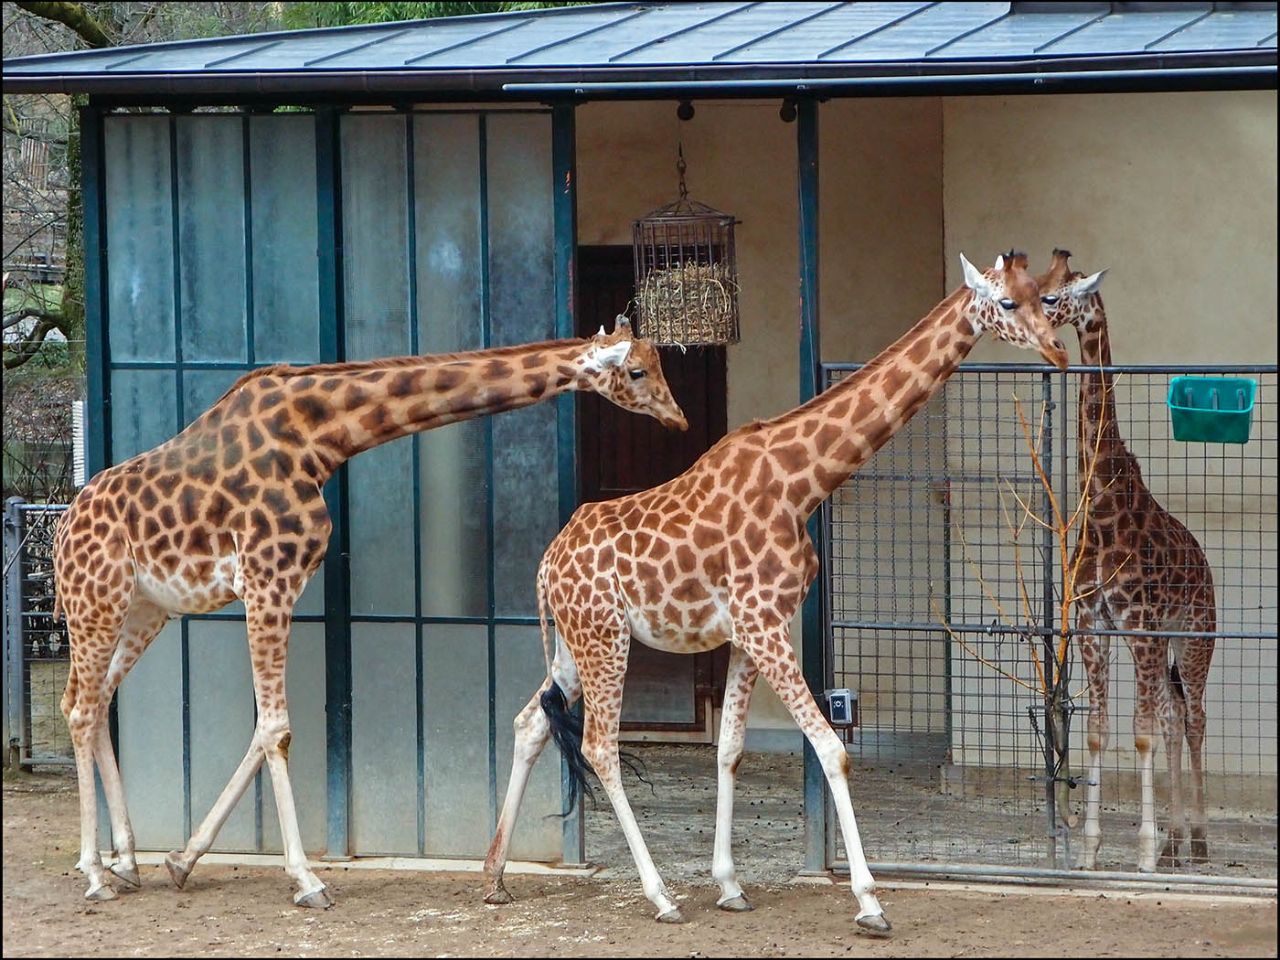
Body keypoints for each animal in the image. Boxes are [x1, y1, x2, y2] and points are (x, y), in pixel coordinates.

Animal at [49, 321, 686, 911]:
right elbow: (276, 729)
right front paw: (307, 881)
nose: (678, 421)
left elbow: (262, 732)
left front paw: (183, 859)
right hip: (96, 603)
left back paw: (127, 861)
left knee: (94, 700)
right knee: (79, 706)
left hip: (143, 610)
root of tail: (60, 531)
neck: (320, 437)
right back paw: (94, 873)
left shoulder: (279, 586)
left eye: (659, 365)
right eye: (636, 372)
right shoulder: (268, 580)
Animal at [481, 253, 1070, 931]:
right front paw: (869, 902)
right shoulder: (765, 623)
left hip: (575, 643)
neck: (801, 482)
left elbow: (730, 749)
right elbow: (831, 749)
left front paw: (730, 884)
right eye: (1007, 303)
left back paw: (494, 877)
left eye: (1044, 295)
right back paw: (660, 897)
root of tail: (546, 564)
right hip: (604, 640)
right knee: (599, 745)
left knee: (530, 721)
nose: (1058, 350)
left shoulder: (746, 632)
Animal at [1034, 252, 1213, 875]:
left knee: (1192, 720)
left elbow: (1140, 736)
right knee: (1173, 717)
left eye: (1052, 296)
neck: (1104, 507)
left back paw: (1197, 842)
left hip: (1194, 637)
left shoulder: (1139, 627)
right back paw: (1178, 842)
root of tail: (1207, 567)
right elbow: (1096, 732)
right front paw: (1090, 849)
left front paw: (1141, 852)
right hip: (1169, 646)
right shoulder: (1094, 625)